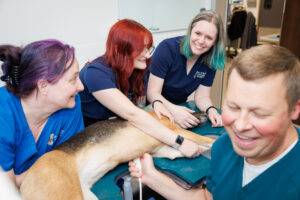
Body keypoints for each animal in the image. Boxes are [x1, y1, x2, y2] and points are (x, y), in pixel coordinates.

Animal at [19, 112, 214, 200]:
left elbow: (178, 151)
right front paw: (213, 142)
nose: (206, 114)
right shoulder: (175, 132)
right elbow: (202, 139)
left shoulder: (162, 150)